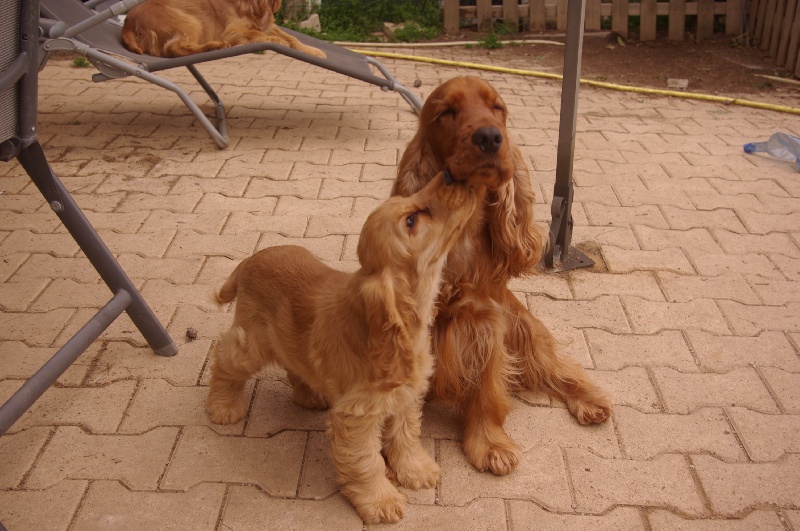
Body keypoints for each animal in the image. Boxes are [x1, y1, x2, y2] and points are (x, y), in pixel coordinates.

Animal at [121, 0, 326, 58]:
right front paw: (278, 41)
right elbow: (259, 34)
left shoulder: (268, 25)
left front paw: (314, 51)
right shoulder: (233, 32)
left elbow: (294, 38)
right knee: (173, 48)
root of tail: (128, 22)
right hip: (188, 20)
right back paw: (215, 46)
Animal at [206, 168, 505, 523]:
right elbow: (366, 461)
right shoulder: (356, 416)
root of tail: (249, 260)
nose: (448, 174)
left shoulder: (405, 394)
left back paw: (309, 395)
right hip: (252, 343)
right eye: (411, 220)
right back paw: (223, 406)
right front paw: (380, 500)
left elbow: (405, 433)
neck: (405, 324)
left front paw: (416, 469)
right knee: (224, 357)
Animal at [391, 76, 613, 476]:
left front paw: (490, 445)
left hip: (526, 331)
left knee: (561, 369)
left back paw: (590, 401)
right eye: (446, 112)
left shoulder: (487, 324)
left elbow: (487, 392)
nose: (490, 137)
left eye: (498, 108)